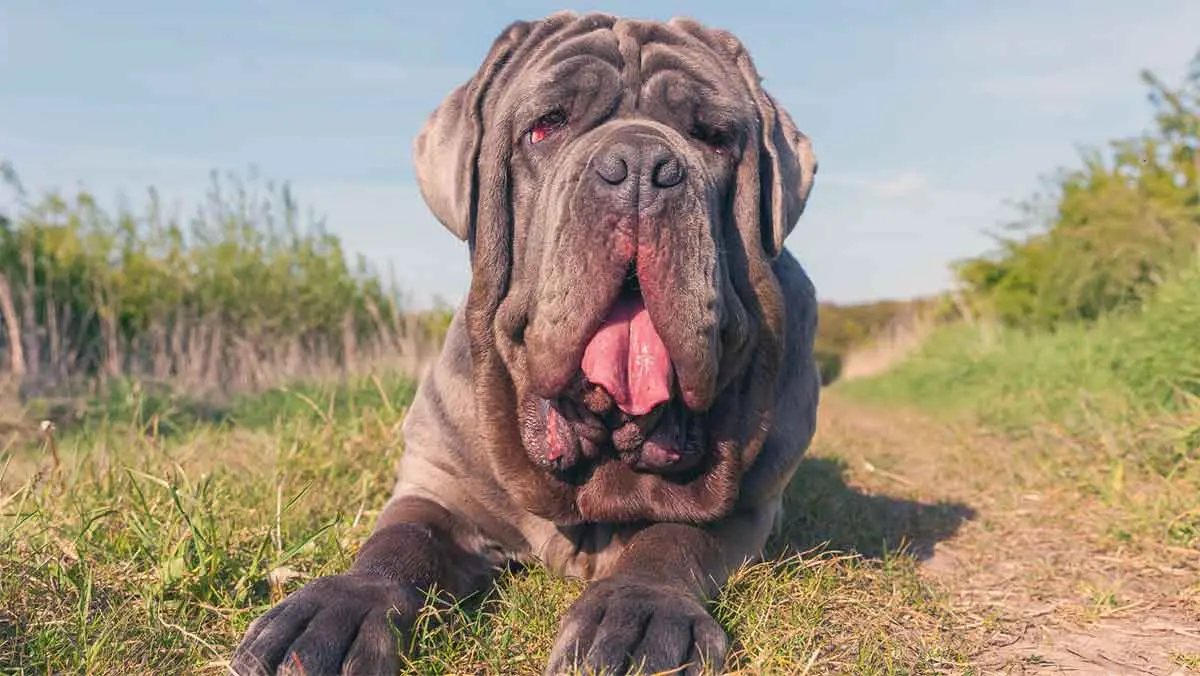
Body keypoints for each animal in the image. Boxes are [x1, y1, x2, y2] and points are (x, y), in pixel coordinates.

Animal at [230, 11, 820, 676]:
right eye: (546, 126)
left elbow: (674, 538)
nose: (642, 166)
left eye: (714, 138)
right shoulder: (437, 481)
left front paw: (638, 617)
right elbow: (400, 542)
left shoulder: (746, 508)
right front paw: (337, 608)